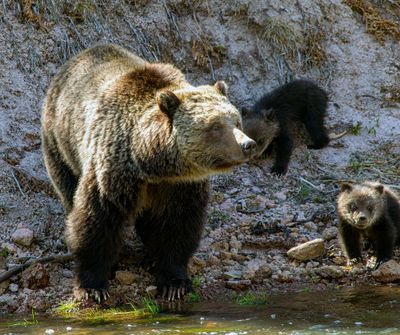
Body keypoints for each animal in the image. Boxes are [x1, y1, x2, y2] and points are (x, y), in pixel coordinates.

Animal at [42, 43, 256, 304]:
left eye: (237, 121)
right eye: (215, 126)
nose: (248, 144)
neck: (152, 163)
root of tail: (76, 58)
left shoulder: (180, 186)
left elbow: (177, 225)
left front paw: (174, 282)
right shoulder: (115, 171)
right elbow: (96, 219)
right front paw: (93, 286)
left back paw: (149, 257)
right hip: (60, 141)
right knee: (68, 188)